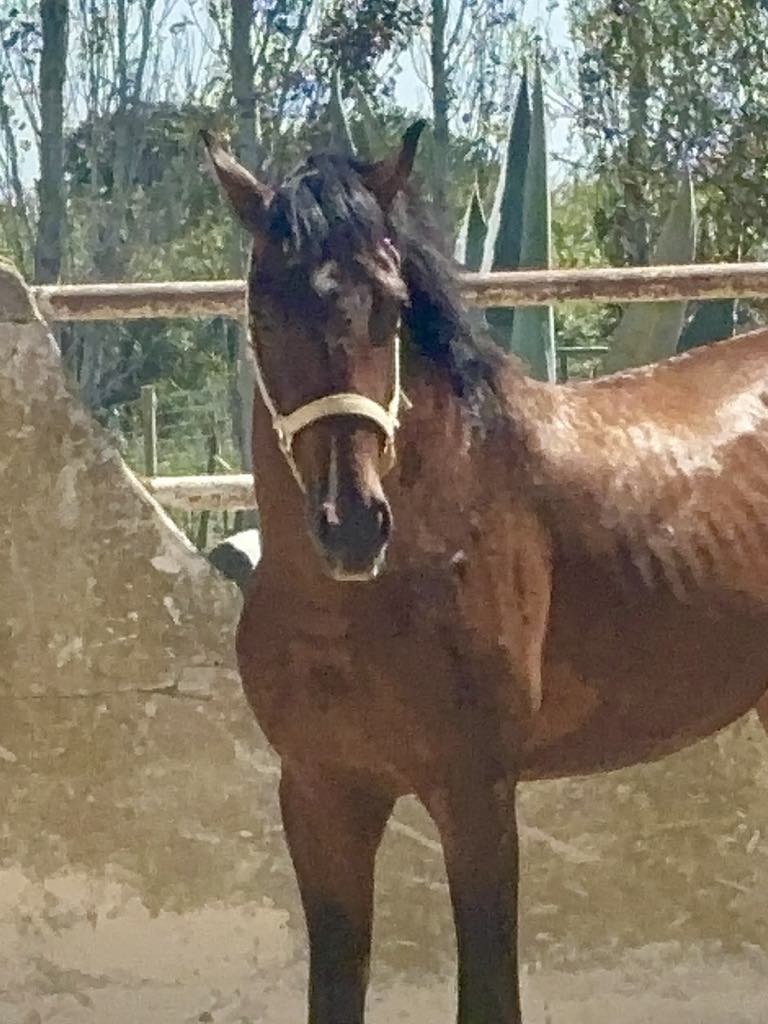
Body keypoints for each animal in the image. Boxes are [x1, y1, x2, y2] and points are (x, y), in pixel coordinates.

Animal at [201, 128, 768, 1024]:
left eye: (392, 305)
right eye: (261, 310)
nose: (352, 524)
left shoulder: (476, 795)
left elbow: (490, 993)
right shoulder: (322, 795)